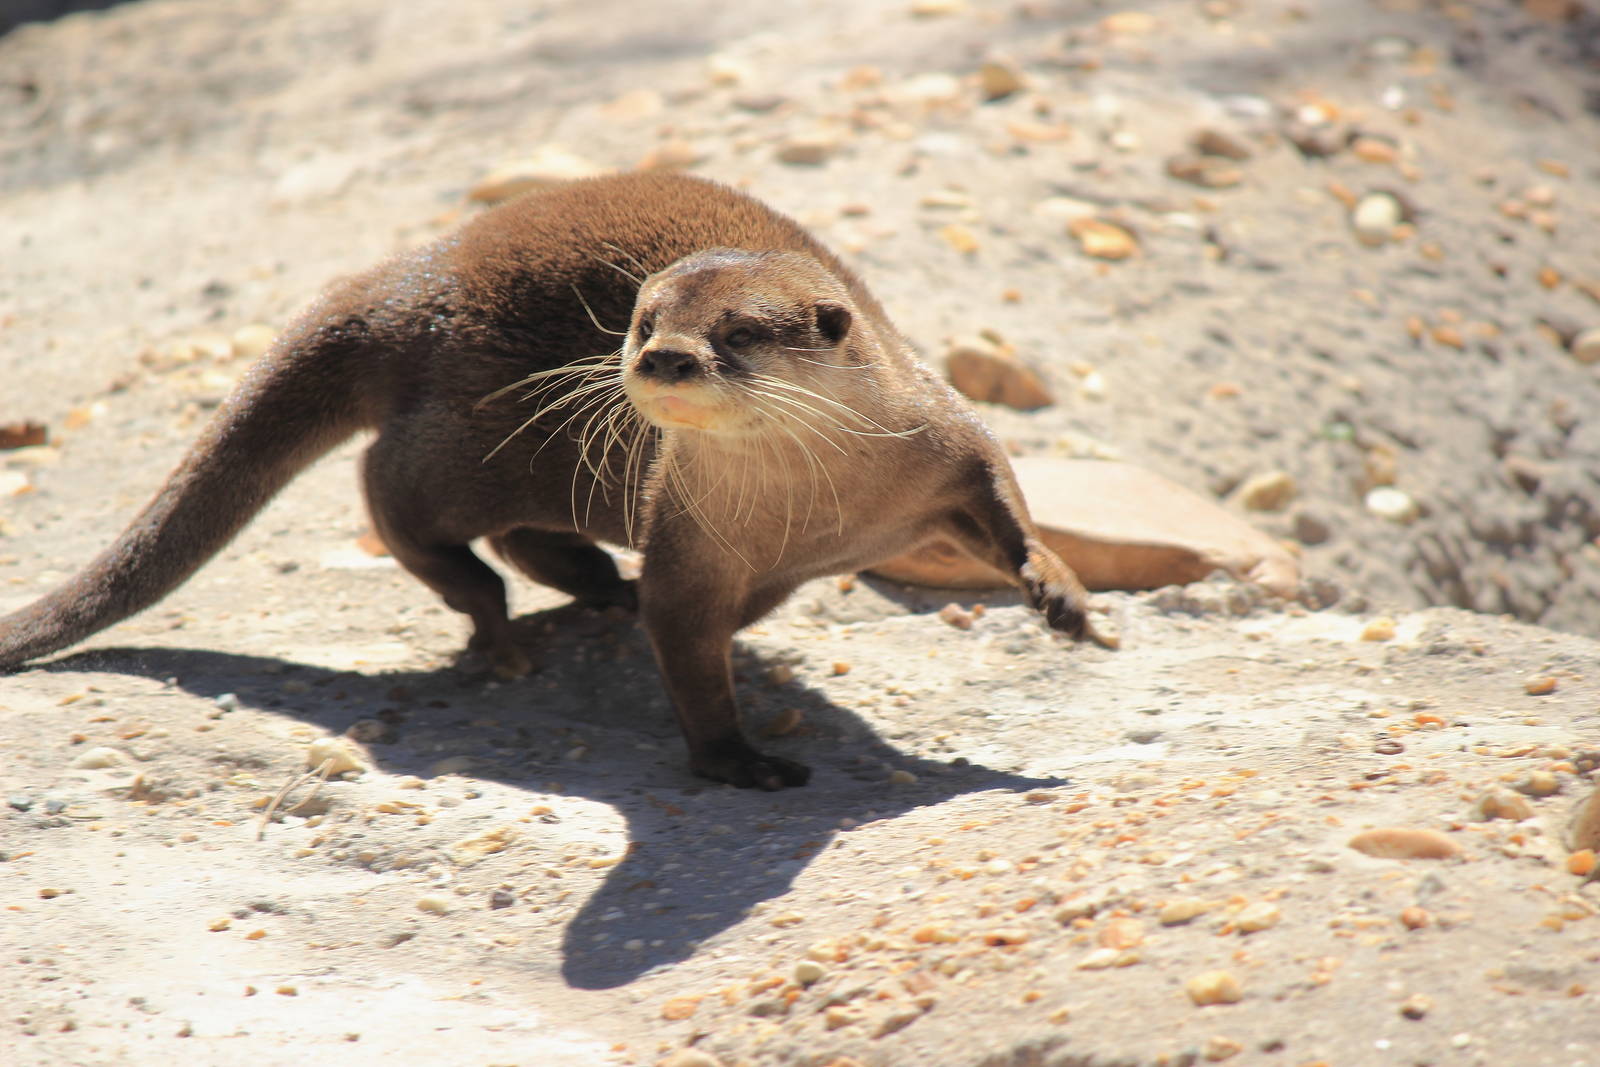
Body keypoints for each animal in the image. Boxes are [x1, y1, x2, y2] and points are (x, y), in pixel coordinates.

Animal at [0, 171, 1098, 789]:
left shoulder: (942, 437)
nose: (663, 359)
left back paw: (591, 585)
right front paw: (736, 759)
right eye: (644, 320)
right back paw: (494, 620)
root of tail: (405, 284)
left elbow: (1004, 496)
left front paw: (1059, 593)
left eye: (739, 333)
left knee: (518, 533)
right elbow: (685, 647)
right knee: (394, 494)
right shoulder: (688, 535)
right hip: (460, 439)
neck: (826, 507)